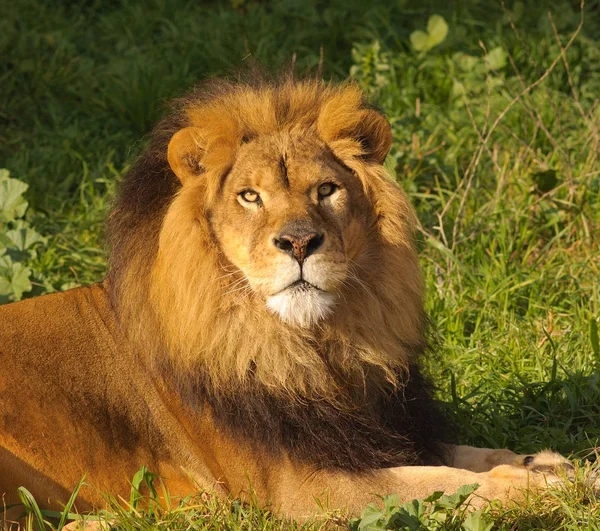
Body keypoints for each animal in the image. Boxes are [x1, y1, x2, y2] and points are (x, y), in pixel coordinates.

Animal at [0, 75, 572, 520]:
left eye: (326, 190)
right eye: (250, 196)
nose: (298, 242)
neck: (311, 344)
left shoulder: (364, 429)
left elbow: (461, 455)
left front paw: (545, 463)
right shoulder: (303, 488)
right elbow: (439, 482)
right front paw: (543, 488)